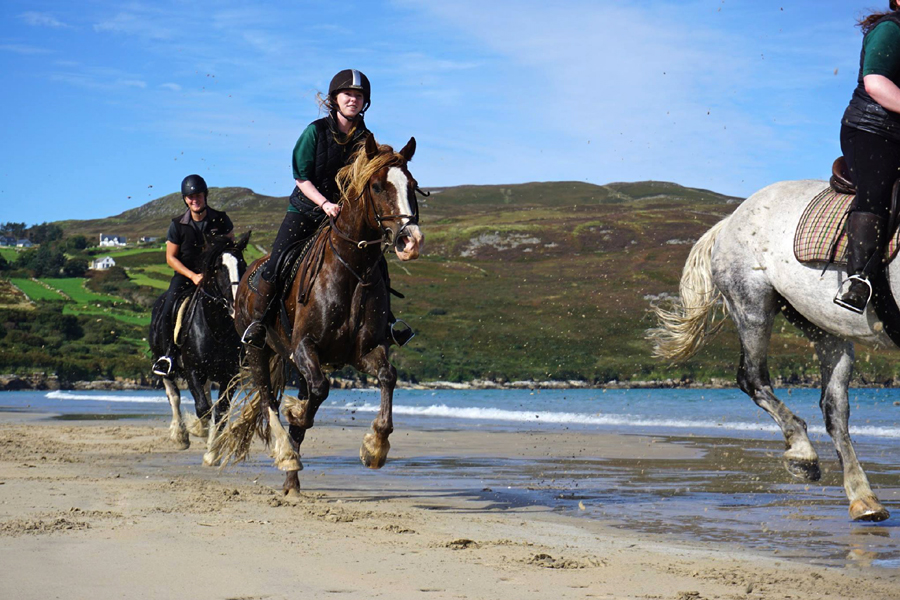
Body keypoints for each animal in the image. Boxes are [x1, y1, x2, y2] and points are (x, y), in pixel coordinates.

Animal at [149, 232, 250, 465]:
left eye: (242, 264)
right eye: (219, 268)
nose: (236, 304)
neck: (217, 327)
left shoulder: (228, 375)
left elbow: (220, 411)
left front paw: (212, 451)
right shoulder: (193, 370)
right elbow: (203, 409)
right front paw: (199, 431)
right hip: (164, 363)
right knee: (174, 395)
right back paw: (180, 436)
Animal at [214, 135, 424, 494]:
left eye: (412, 186)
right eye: (378, 187)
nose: (411, 241)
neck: (353, 269)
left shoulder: (364, 350)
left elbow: (387, 376)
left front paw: (375, 448)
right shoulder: (304, 347)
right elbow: (318, 392)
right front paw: (296, 416)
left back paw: (292, 481)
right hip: (258, 349)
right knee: (268, 399)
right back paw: (286, 454)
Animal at [648, 179, 893, 522]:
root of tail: (730, 219)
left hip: (825, 326)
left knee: (833, 409)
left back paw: (863, 498)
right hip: (753, 307)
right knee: (753, 378)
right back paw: (803, 454)